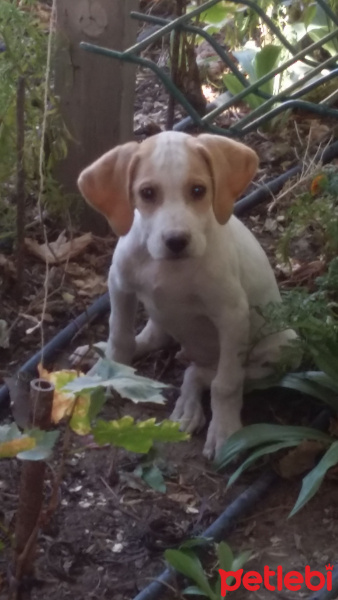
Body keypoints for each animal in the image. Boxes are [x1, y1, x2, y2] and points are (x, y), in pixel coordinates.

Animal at [76, 132, 294, 460]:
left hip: (278, 353)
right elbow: (120, 338)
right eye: (147, 193)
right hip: (160, 319)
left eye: (198, 190)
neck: (170, 269)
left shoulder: (232, 315)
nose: (176, 241)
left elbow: (226, 384)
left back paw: (189, 406)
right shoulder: (119, 285)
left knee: (203, 373)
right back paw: (96, 353)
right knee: (152, 341)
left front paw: (225, 429)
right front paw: (110, 373)